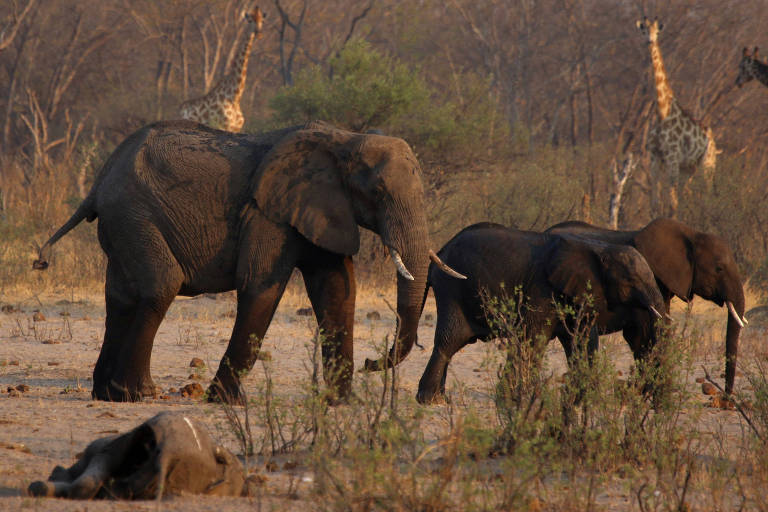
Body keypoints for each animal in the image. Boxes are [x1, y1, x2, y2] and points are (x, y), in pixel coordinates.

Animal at [34, 120, 462, 404]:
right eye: (378, 191)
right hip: (133, 214)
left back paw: (106, 394)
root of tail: (98, 183)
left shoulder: (321, 209)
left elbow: (338, 291)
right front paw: (224, 402)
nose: (374, 363)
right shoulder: (267, 213)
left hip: (123, 223)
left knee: (120, 296)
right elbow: (261, 288)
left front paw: (341, 404)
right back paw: (137, 394)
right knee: (160, 286)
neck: (345, 138)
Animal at [414, 223, 664, 404]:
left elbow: (580, 341)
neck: (598, 248)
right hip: (452, 288)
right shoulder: (542, 289)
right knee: (450, 340)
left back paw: (438, 399)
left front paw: (581, 399)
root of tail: (439, 252)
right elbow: (533, 339)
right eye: (632, 280)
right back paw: (431, 401)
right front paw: (516, 400)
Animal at [632, 17, 716, 215]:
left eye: (657, 32)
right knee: (687, 195)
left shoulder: (672, 157)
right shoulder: (655, 157)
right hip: (689, 168)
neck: (662, 112)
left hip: (707, 164)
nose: (650, 41)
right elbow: (655, 204)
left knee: (707, 196)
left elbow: (672, 204)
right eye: (644, 31)